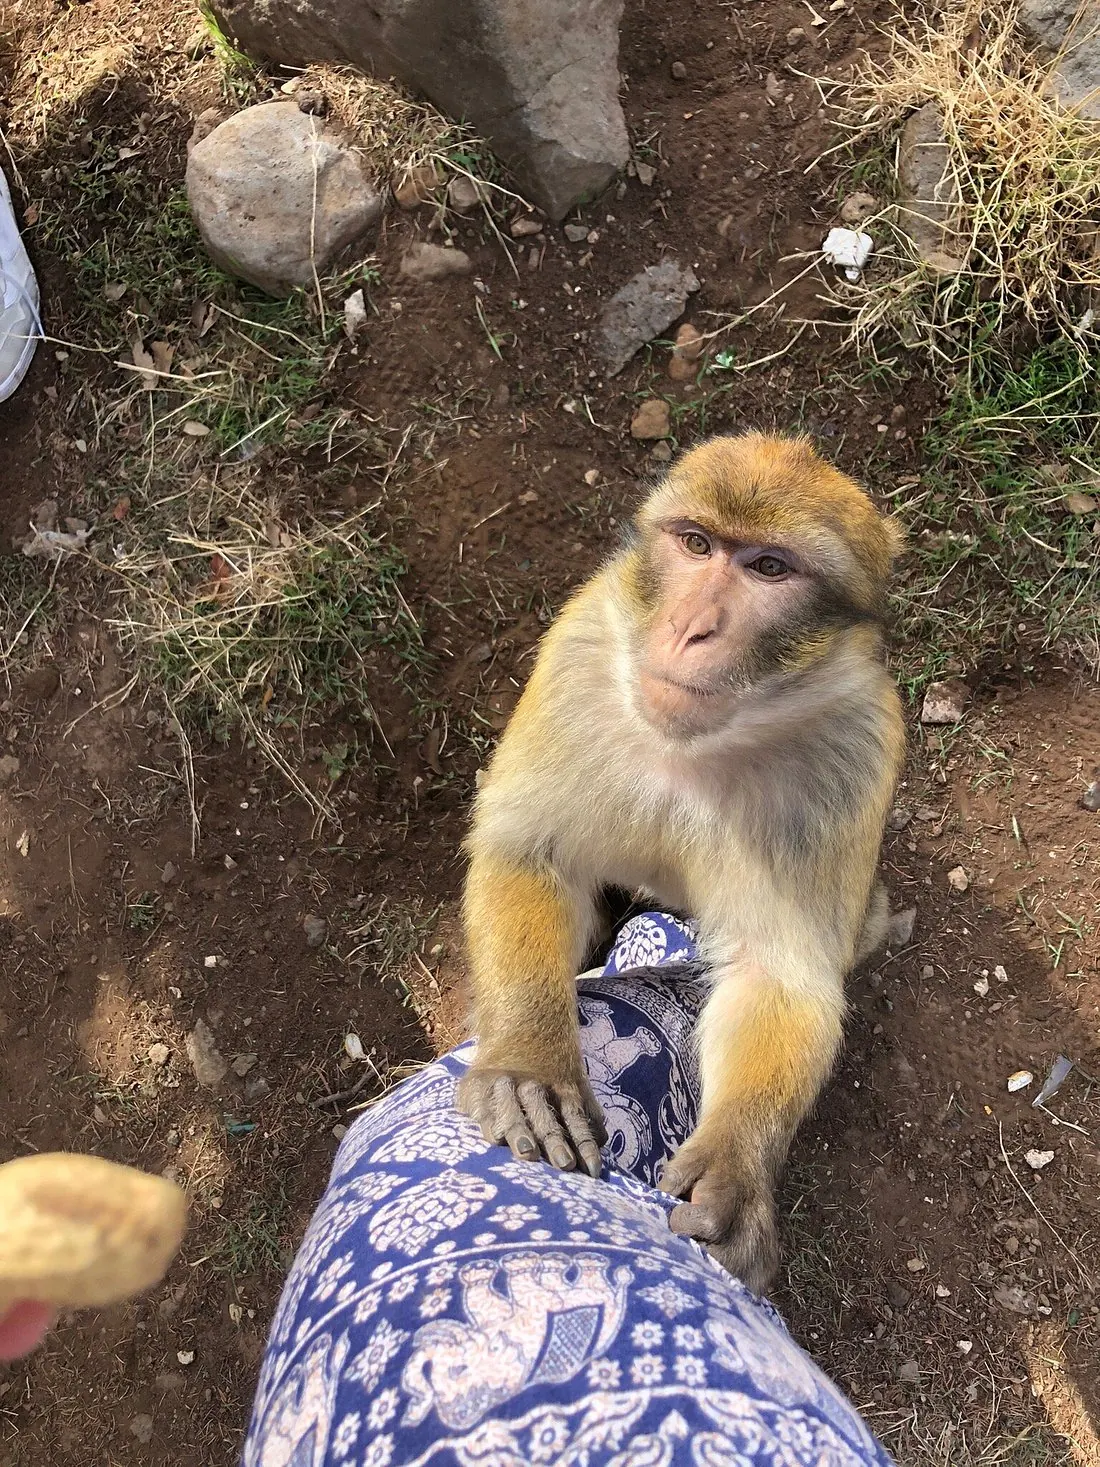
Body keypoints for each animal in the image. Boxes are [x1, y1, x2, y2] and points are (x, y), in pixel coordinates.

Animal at [456, 432, 905, 1292]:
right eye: (697, 544)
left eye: (769, 567)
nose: (693, 626)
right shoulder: (577, 653)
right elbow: (528, 851)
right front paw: (530, 1063)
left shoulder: (855, 752)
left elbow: (779, 972)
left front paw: (735, 1165)